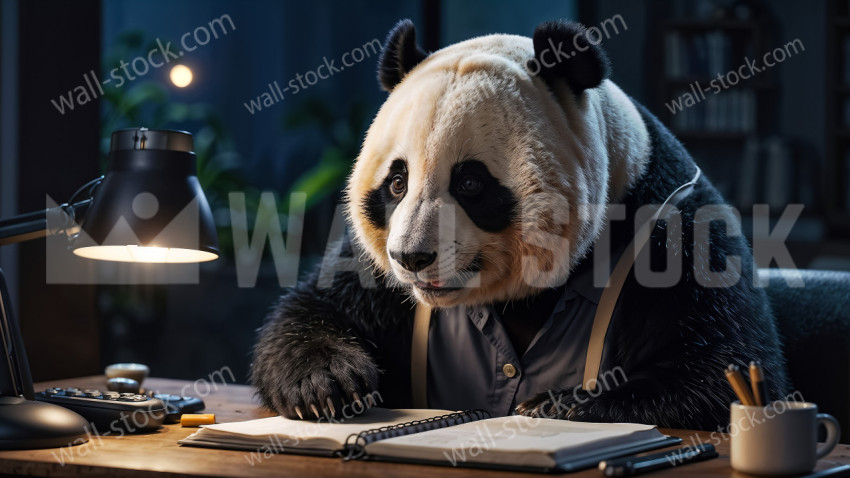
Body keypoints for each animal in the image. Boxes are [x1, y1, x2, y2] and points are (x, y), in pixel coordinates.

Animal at [251, 19, 788, 430]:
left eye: (470, 183)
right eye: (397, 183)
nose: (412, 258)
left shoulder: (670, 229)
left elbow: (723, 369)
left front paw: (560, 405)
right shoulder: (375, 276)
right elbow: (317, 305)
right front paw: (328, 385)